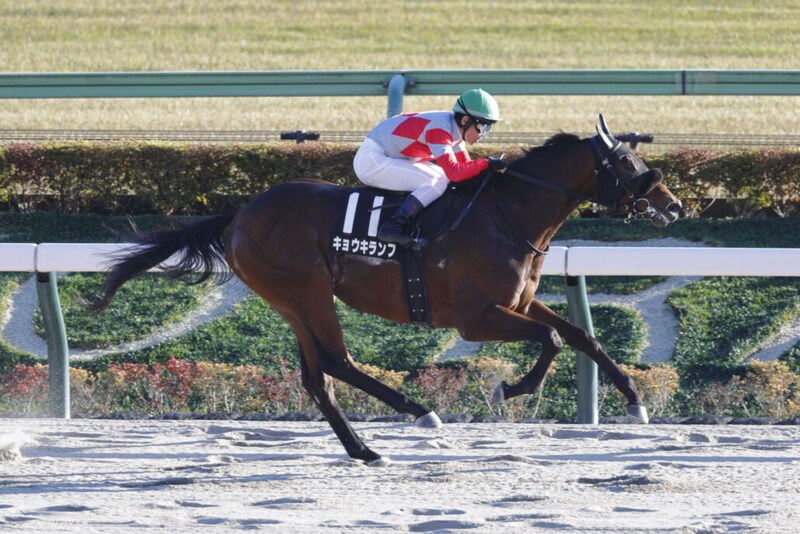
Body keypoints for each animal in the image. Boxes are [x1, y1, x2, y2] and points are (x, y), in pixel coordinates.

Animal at [93, 115, 681, 465]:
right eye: (625, 162)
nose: (673, 205)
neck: (507, 213)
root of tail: (240, 215)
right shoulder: (476, 317)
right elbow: (553, 341)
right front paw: (508, 390)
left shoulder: (516, 302)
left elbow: (582, 336)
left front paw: (635, 402)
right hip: (307, 293)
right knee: (338, 362)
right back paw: (417, 411)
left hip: (293, 303)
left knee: (318, 377)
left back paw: (364, 449)